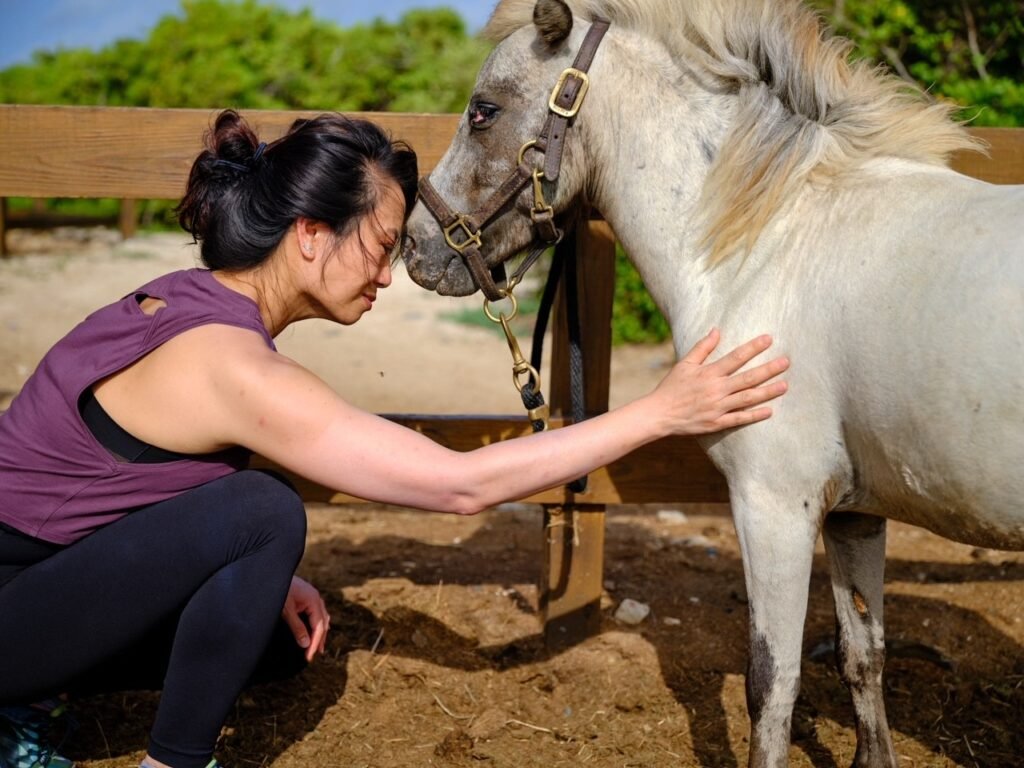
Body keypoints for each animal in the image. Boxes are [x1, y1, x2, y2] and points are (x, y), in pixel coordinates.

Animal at [401, 0, 1024, 765]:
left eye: (483, 111)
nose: (415, 247)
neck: (774, 245)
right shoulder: (853, 513)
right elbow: (863, 658)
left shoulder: (774, 505)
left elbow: (772, 684)